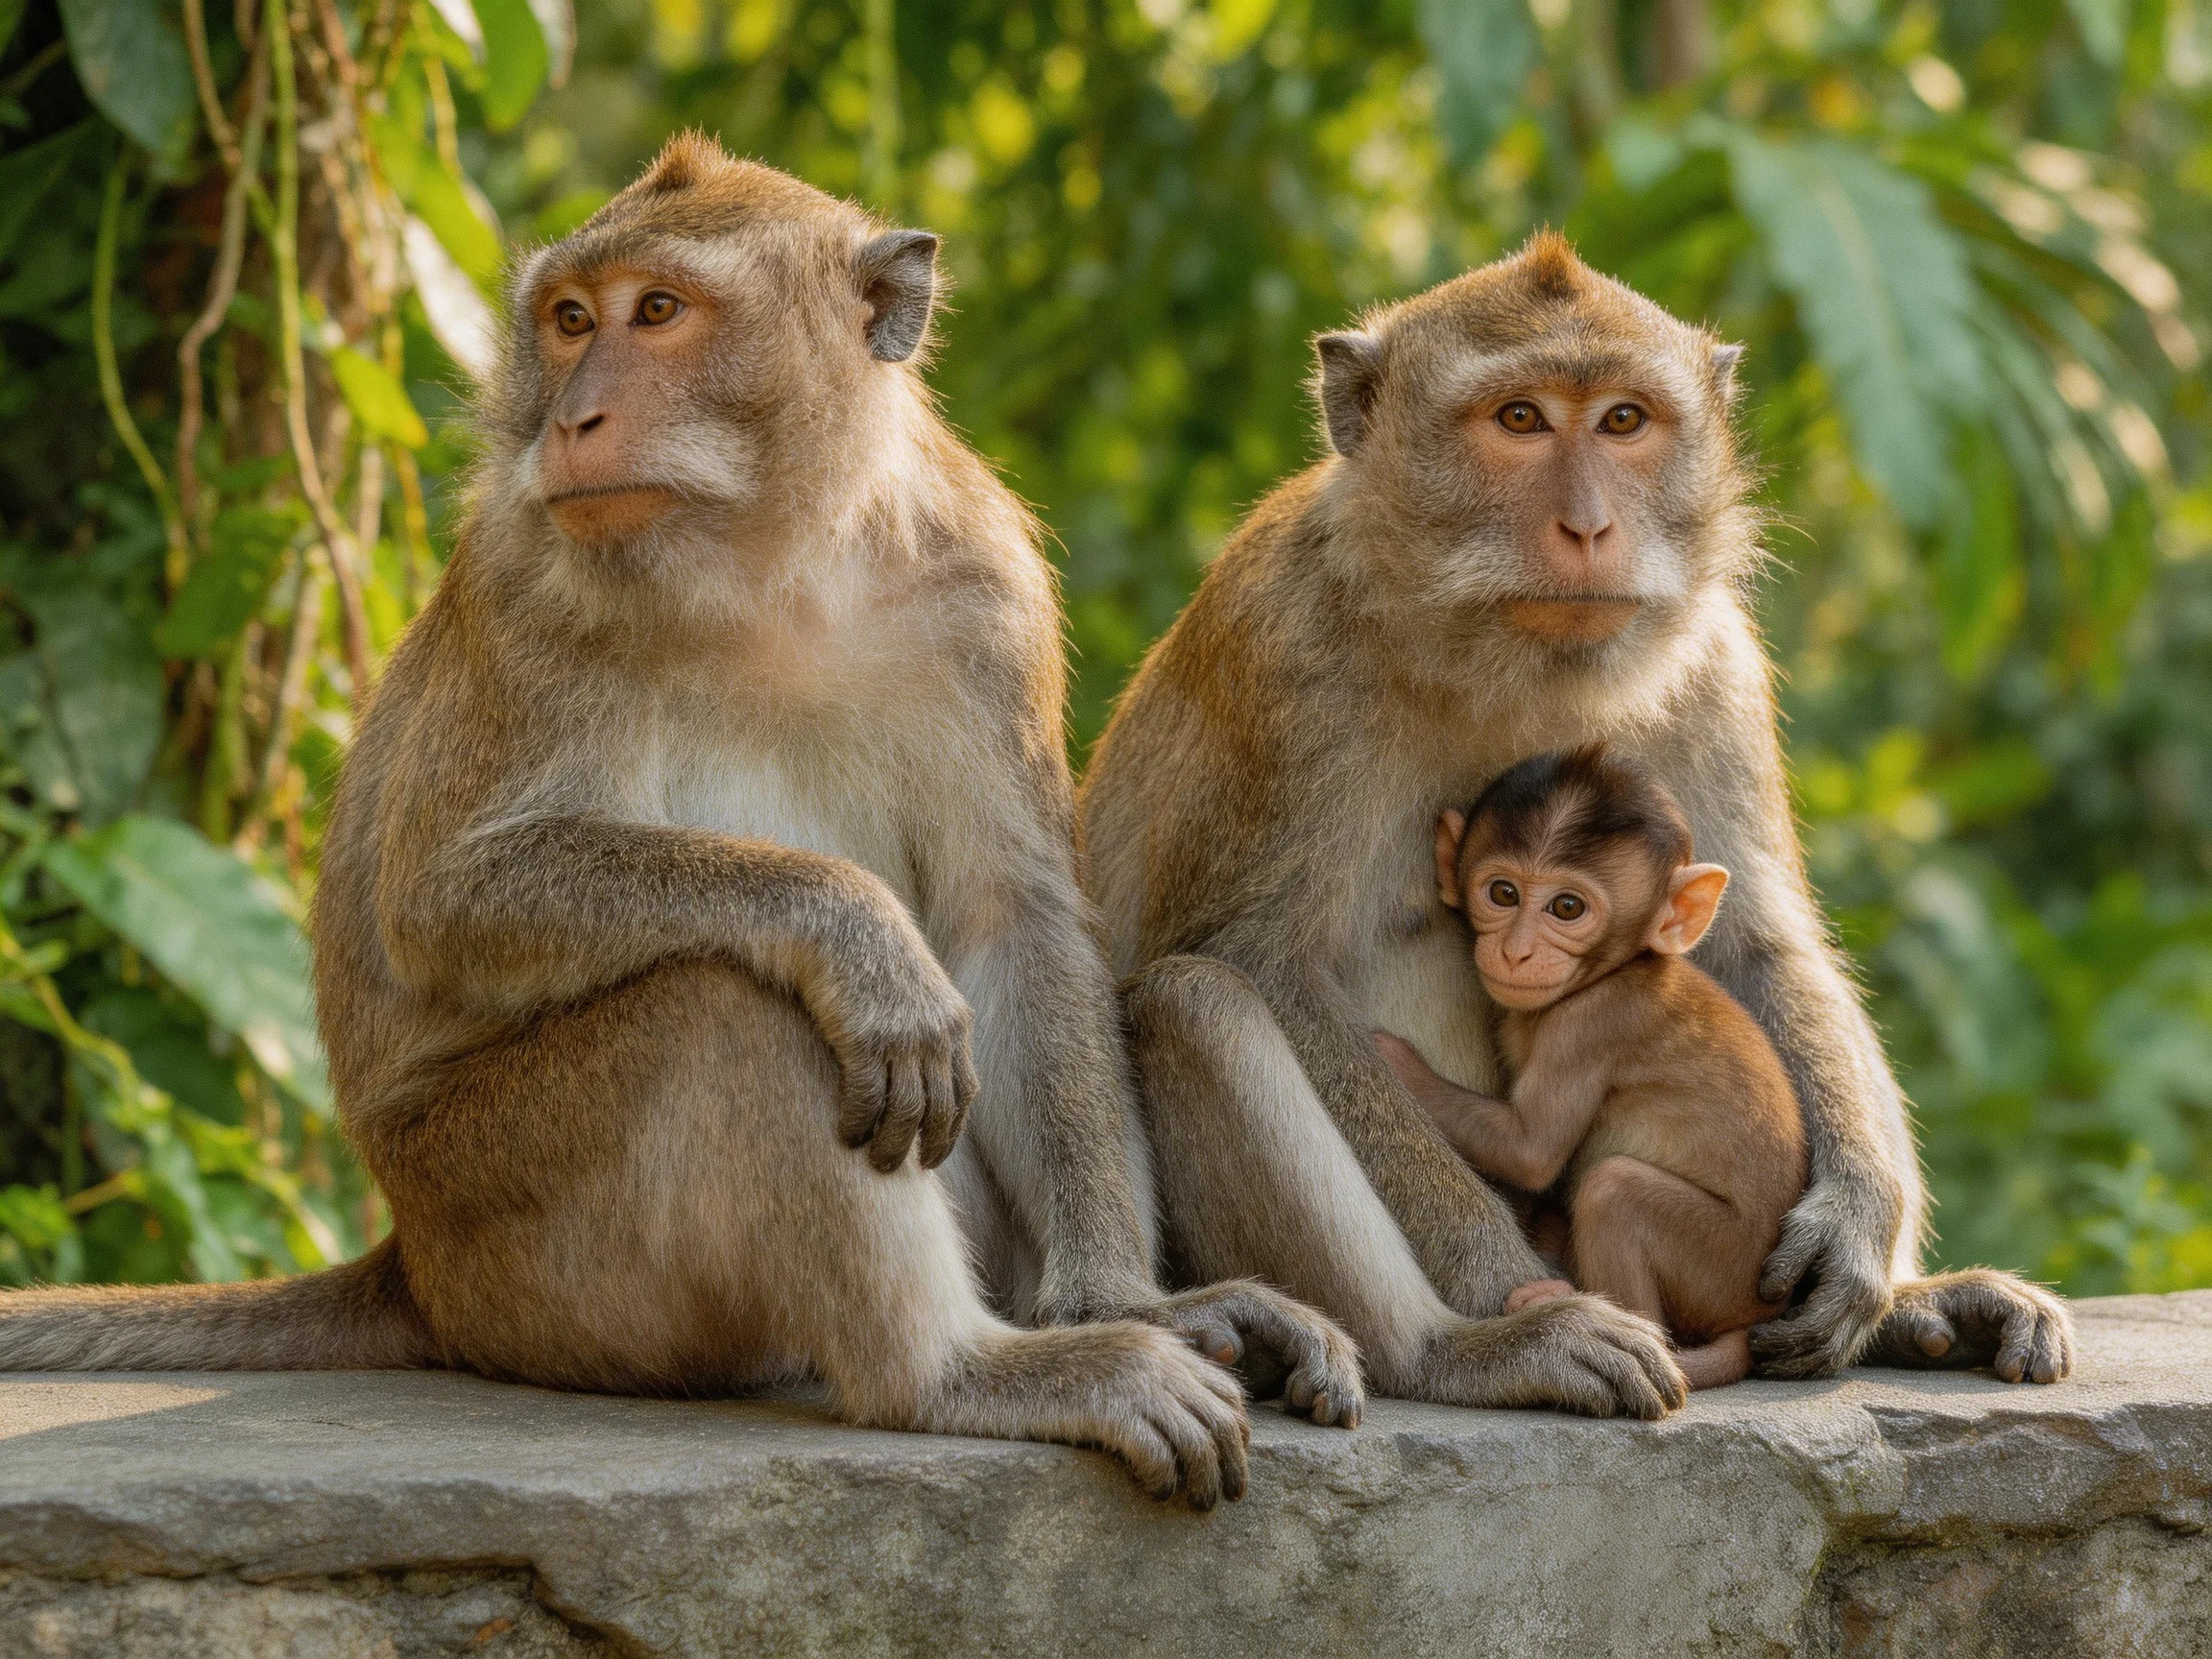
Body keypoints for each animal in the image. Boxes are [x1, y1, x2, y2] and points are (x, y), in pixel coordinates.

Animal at [0, 134, 1368, 1509]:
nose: (571, 418)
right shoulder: (526, 580)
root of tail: (415, 1267)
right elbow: (443, 900)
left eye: (657, 311)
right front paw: (856, 932)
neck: (775, 566)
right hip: (516, 1228)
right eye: (569, 320)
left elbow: (1013, 923)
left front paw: (1129, 1300)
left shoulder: (984, 591)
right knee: (726, 1010)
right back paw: (956, 1374)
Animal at [1368, 746, 1808, 1390]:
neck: (1613, 970)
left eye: (1567, 908)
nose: (1516, 951)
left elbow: (1531, 1150)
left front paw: (1393, 1058)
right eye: (1503, 893)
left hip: (1721, 1264)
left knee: (1613, 1192)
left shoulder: (1589, 1026)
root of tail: (1758, 1312)